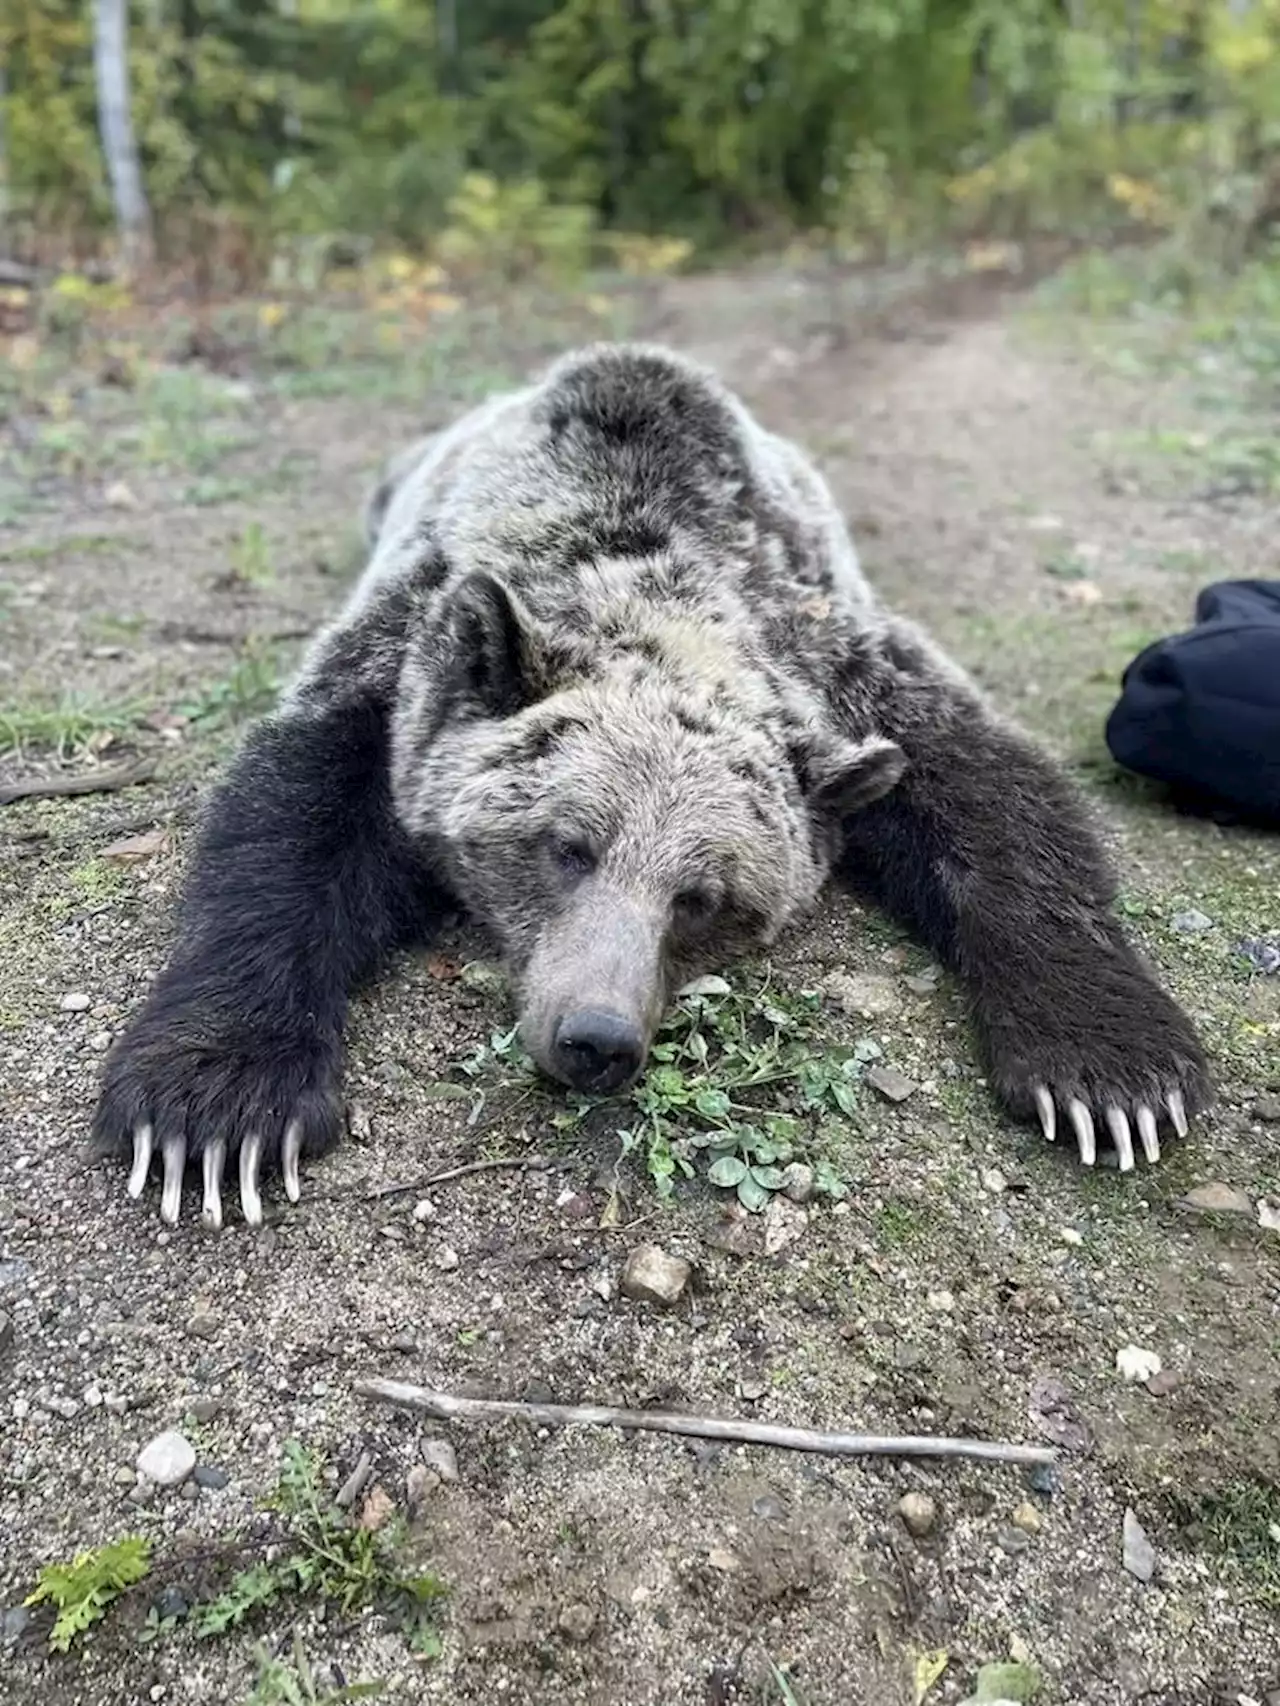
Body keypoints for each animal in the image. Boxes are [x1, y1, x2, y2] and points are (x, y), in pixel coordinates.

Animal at [90, 346, 1215, 1228]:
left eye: (702, 898)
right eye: (564, 845)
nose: (596, 1037)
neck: (646, 560)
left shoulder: (838, 657)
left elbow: (996, 801)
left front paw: (1111, 1076)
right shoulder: (405, 646)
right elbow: (291, 819)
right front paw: (217, 1110)